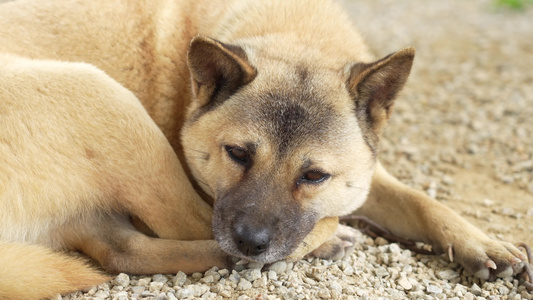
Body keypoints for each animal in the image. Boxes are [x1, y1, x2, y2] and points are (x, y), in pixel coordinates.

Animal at [0, 0, 524, 298]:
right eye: (237, 154)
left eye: (314, 176)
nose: (251, 241)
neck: (299, 35)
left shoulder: (360, 173)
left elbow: (419, 200)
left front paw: (481, 241)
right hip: (106, 98)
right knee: (188, 226)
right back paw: (327, 239)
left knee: (121, 251)